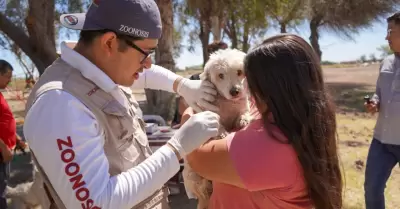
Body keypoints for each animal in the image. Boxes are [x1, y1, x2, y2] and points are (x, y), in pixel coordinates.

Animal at [182, 48, 252, 209]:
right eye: (220, 75)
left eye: (239, 72)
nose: (235, 91)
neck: (228, 103)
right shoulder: (207, 111)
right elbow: (216, 123)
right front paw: (221, 133)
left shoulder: (243, 105)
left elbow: (244, 111)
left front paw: (244, 119)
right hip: (192, 176)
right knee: (203, 192)